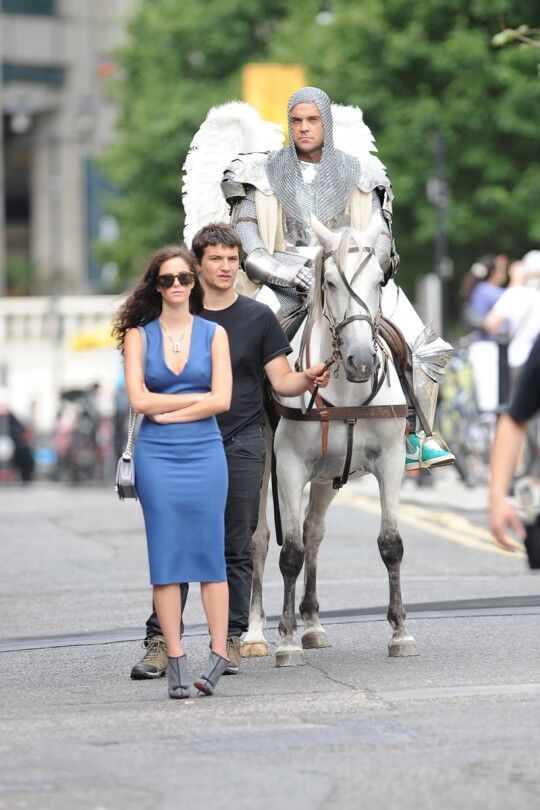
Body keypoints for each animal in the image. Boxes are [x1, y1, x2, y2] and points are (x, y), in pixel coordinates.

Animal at [243, 213, 420, 664]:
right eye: (331, 283)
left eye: (379, 280)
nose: (361, 361)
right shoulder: (288, 467)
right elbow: (289, 553)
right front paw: (286, 641)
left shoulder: (390, 461)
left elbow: (391, 543)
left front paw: (400, 633)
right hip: (265, 467)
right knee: (261, 540)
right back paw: (255, 634)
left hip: (327, 475)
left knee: (313, 532)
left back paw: (313, 625)